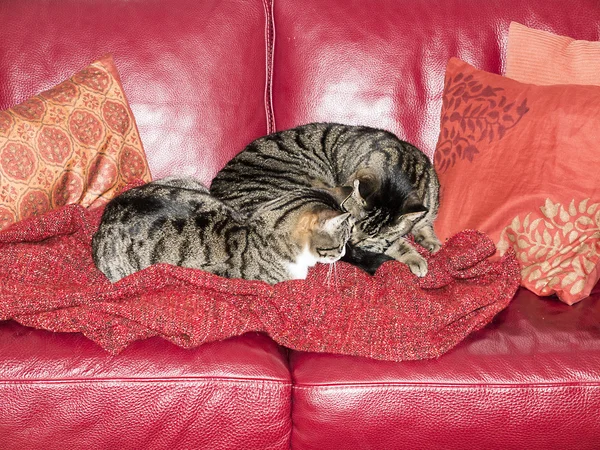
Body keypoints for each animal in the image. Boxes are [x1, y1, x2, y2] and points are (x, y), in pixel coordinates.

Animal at [211, 123, 440, 278]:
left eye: (369, 235)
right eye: (352, 226)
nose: (351, 242)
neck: (405, 169)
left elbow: (423, 223)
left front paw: (430, 241)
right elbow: (393, 244)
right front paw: (415, 258)